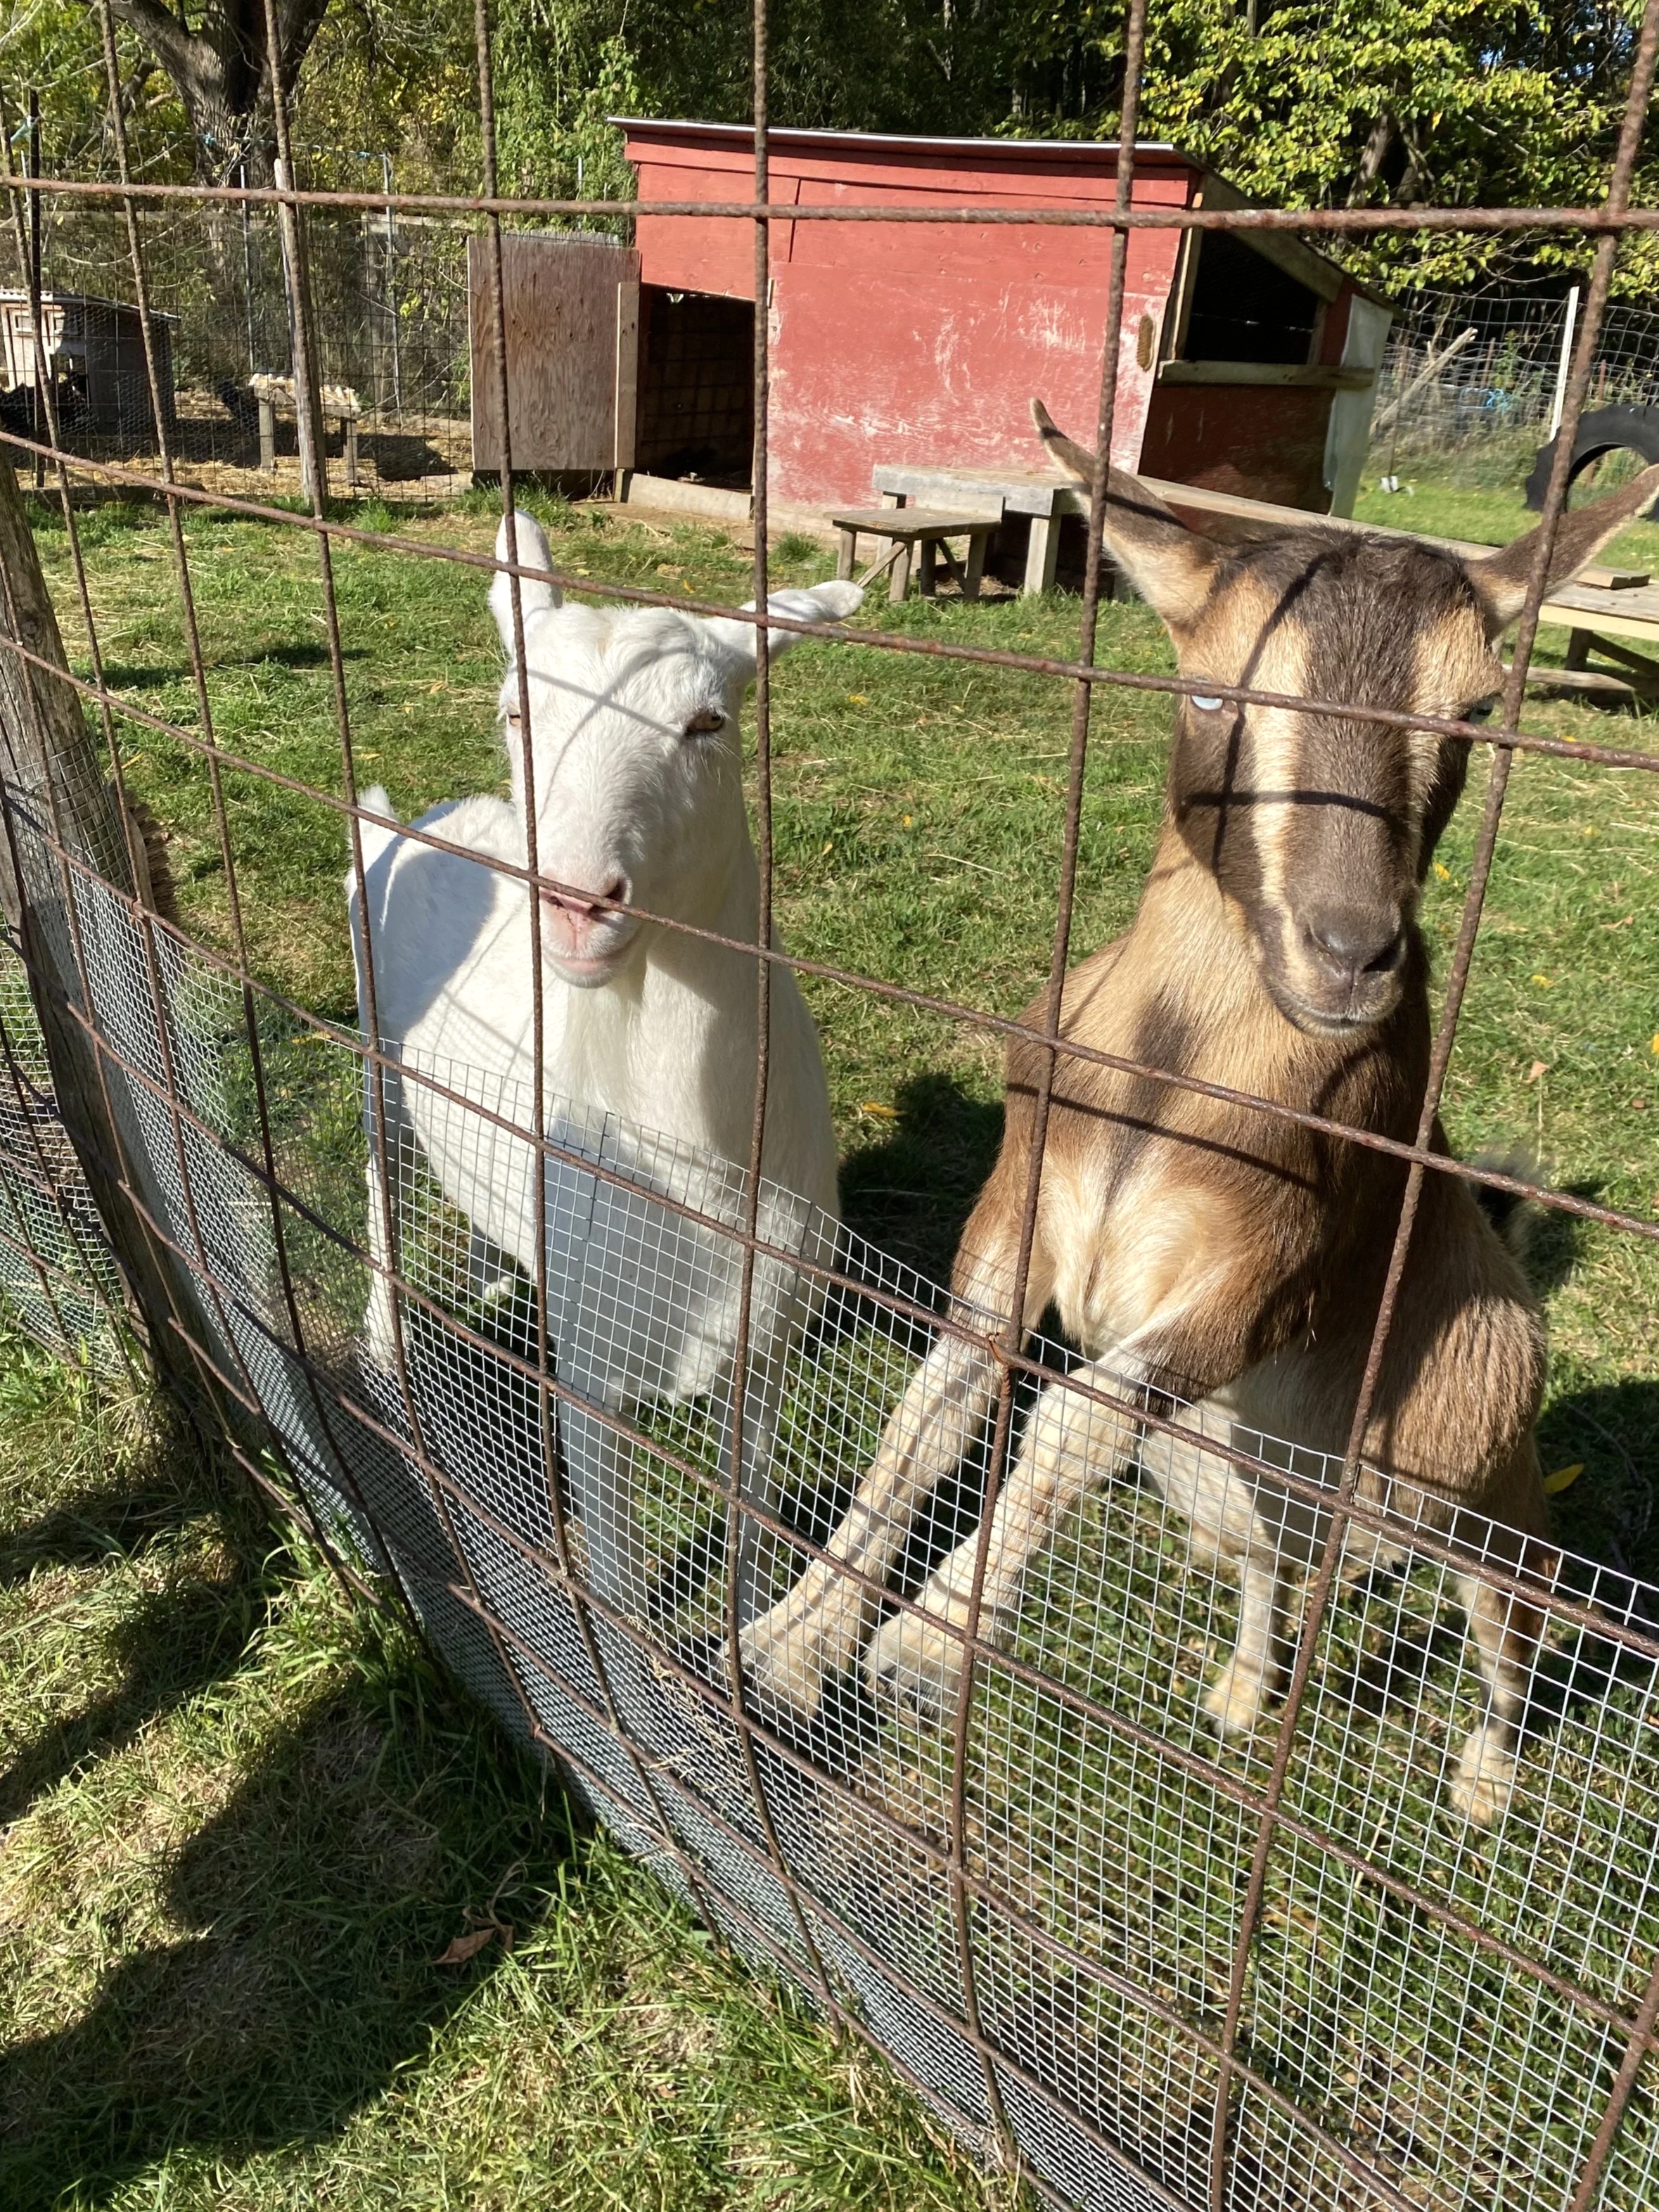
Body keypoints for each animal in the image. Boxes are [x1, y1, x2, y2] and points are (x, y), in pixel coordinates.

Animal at [347, 514, 860, 1621]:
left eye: (708, 722)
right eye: (514, 710)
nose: (577, 902)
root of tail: (418, 815)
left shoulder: (767, 1344)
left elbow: (752, 1526)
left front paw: (744, 1638)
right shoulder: (588, 1371)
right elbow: (619, 1589)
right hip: (376, 1062)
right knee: (381, 1191)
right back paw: (385, 1351)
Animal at [741, 405, 1658, 1824]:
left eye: (1466, 714)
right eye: (1213, 689)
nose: (1347, 955)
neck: (1167, 1080)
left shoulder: (1265, 1275)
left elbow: (1065, 1411)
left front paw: (916, 1648)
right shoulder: (1020, 1209)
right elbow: (938, 1401)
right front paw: (789, 1643)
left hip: (1480, 1486)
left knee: (1516, 1619)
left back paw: (1484, 1783)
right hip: (1223, 1478)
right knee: (1270, 1569)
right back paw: (1236, 1694)